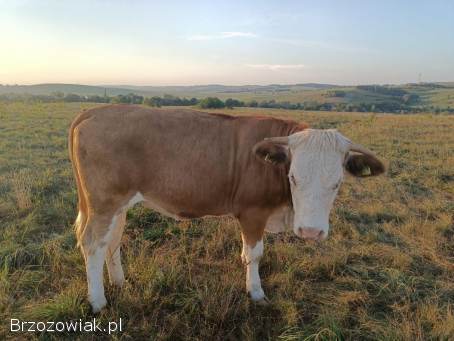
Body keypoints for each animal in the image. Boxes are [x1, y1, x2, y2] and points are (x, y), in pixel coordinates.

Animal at [69, 103, 384, 310]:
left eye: (337, 183)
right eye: (293, 177)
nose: (310, 232)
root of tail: (94, 110)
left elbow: (246, 254)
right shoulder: (252, 212)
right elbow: (254, 254)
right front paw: (255, 291)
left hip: (117, 205)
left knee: (111, 242)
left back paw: (119, 282)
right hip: (104, 202)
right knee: (92, 243)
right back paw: (98, 301)